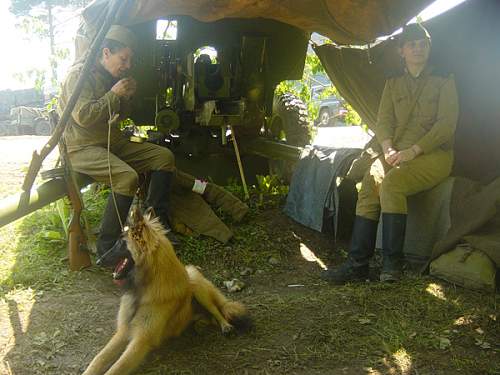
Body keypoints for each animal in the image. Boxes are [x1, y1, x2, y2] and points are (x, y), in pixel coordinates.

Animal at [84, 209, 254, 375]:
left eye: (121, 243)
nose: (98, 261)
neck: (144, 288)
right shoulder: (124, 331)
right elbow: (99, 358)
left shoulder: (141, 340)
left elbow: (116, 367)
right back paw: (199, 324)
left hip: (196, 284)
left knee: (217, 311)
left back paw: (226, 326)